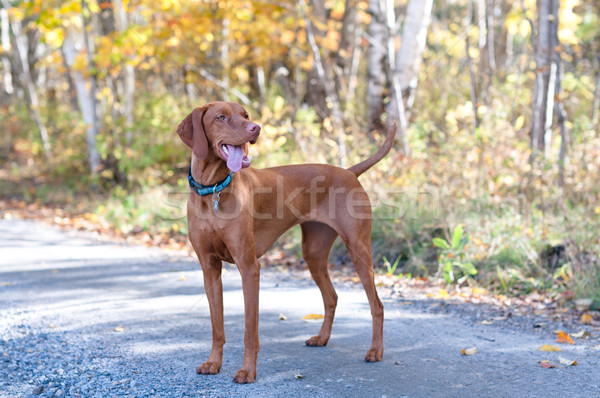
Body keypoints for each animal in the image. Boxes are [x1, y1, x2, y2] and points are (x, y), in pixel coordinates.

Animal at [178, 101, 394, 384]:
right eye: (221, 117)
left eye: (245, 115)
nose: (255, 128)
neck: (213, 191)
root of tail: (348, 172)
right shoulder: (209, 268)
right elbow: (217, 326)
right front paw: (213, 363)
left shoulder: (249, 268)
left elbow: (250, 331)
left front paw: (247, 371)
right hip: (313, 253)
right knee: (331, 297)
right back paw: (322, 338)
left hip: (358, 250)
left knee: (376, 305)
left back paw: (376, 350)